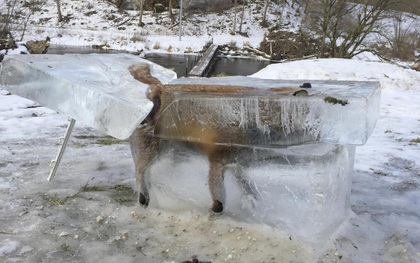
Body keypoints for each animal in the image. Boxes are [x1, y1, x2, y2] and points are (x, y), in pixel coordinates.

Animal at [128, 64, 308, 214]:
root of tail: (159, 87)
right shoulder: (218, 158)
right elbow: (219, 196)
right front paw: (216, 210)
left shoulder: (237, 163)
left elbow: (247, 185)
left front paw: (251, 200)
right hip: (155, 151)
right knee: (140, 170)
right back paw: (144, 196)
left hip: (175, 155)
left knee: (155, 172)